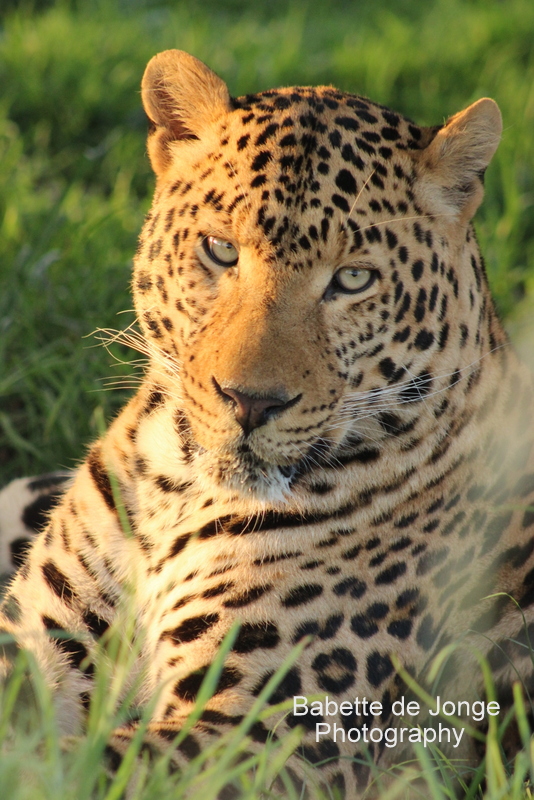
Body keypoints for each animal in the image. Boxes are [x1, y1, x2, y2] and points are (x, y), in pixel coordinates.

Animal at [1, 48, 534, 792]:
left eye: (352, 280)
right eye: (221, 251)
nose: (250, 401)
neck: (178, 490)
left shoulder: (259, 739)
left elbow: (70, 764)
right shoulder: (43, 637)